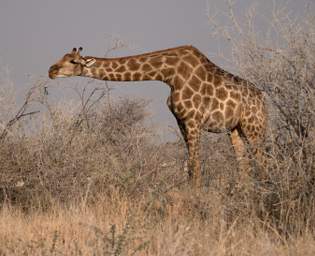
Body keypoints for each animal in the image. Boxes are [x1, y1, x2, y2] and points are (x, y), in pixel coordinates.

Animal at [48, 45, 266, 187]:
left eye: (73, 61)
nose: (51, 70)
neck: (168, 74)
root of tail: (264, 101)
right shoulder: (181, 121)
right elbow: (189, 164)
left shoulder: (193, 120)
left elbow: (195, 163)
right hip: (235, 129)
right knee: (244, 164)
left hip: (254, 128)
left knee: (263, 160)